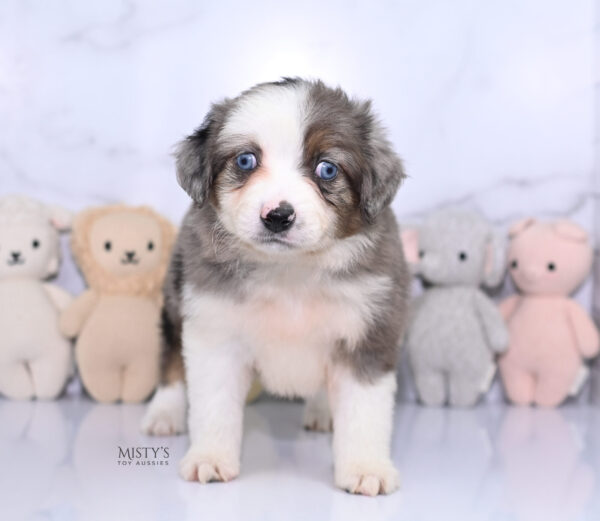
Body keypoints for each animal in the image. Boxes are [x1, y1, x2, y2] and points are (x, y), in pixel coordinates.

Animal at [143, 77, 410, 496]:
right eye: (245, 161)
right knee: (171, 357)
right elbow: (214, 404)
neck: (290, 271)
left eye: (327, 169)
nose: (278, 216)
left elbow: (364, 411)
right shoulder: (215, 329)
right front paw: (210, 458)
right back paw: (164, 412)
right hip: (175, 293)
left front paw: (366, 467)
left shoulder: (369, 329)